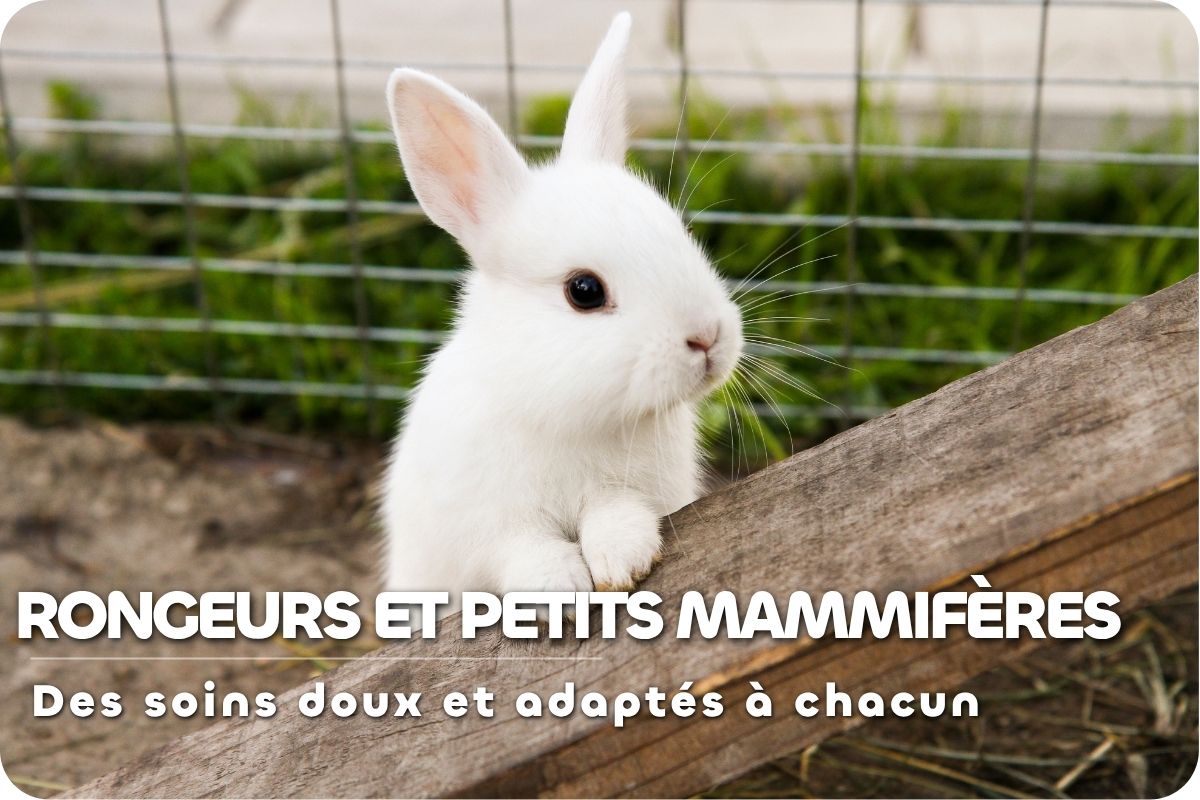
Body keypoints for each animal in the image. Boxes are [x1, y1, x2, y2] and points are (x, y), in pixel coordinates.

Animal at [380, 11, 743, 617]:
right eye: (584, 291)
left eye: (680, 232)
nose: (707, 338)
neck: (569, 415)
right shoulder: (488, 528)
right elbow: (522, 551)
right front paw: (561, 588)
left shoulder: (635, 489)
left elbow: (616, 513)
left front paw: (623, 561)